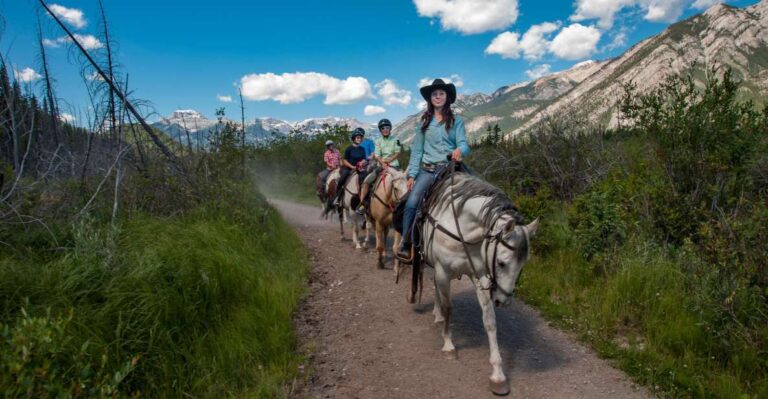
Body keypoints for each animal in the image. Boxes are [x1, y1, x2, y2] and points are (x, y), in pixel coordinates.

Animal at [414, 173, 540, 396]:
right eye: (502, 262)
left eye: (523, 265)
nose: (504, 301)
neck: (462, 230)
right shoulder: (443, 271)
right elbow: (449, 308)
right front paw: (449, 345)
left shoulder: (479, 275)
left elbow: (489, 320)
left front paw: (498, 375)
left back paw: (437, 315)